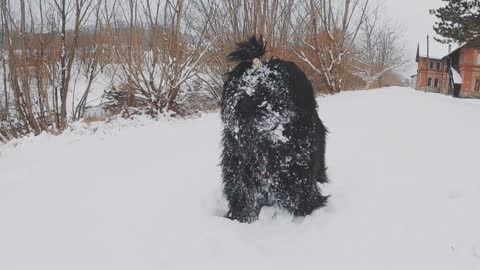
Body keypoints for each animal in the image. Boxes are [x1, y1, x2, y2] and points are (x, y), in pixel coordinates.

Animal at [221, 36, 330, 224]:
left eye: (273, 80)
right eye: (240, 81)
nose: (246, 102)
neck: (266, 142)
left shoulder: (297, 167)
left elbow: (301, 195)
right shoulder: (238, 166)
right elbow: (242, 193)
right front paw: (240, 218)